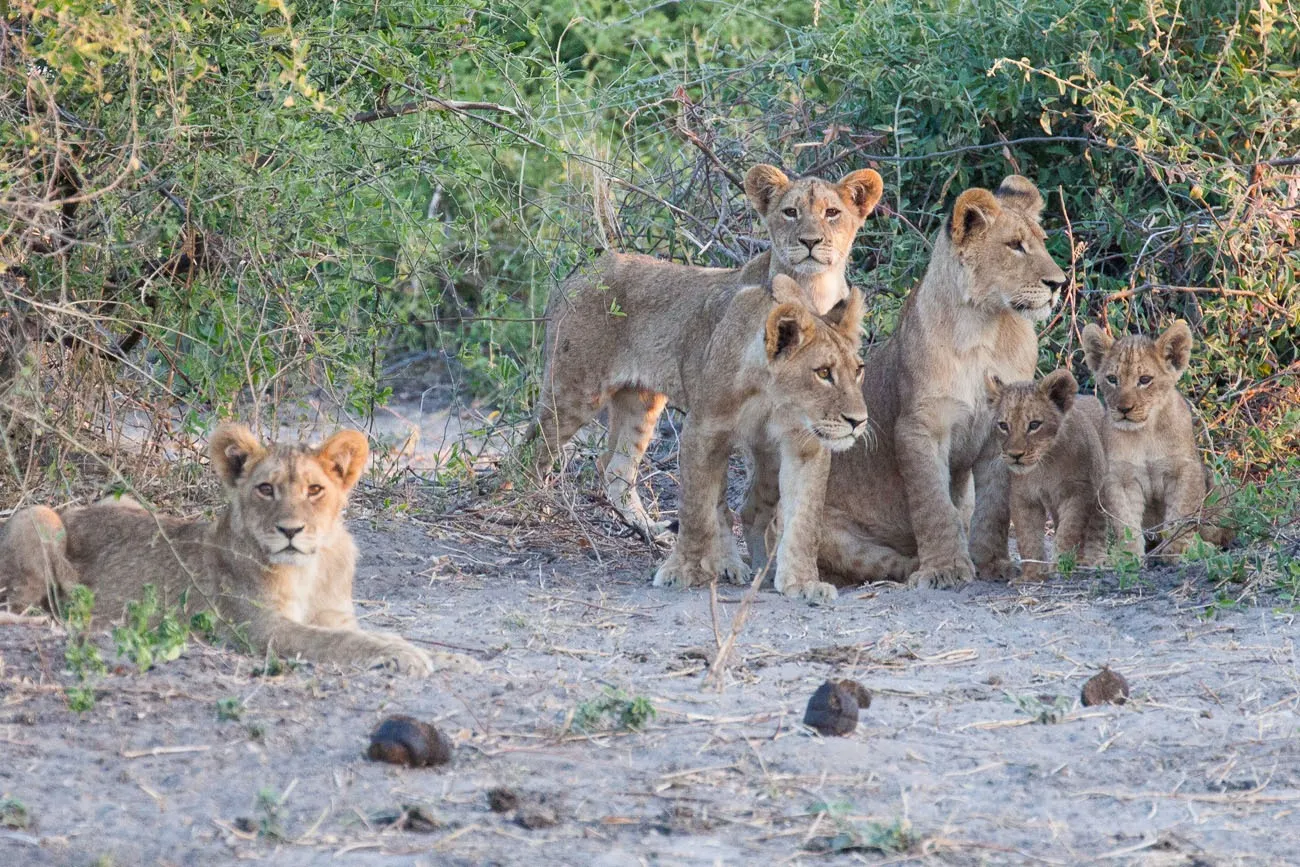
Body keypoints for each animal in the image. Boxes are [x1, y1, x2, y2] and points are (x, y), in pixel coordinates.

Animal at [0, 426, 473, 675]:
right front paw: (405, 654)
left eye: (315, 490)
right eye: (266, 489)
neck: (310, 570)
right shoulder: (261, 628)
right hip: (38, 516)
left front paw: (453, 658)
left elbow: (359, 633)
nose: (290, 530)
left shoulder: (336, 614)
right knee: (19, 604)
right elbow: (338, 642)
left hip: (122, 500)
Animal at [759, 175, 1071, 590]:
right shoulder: (919, 427)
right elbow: (933, 505)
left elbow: (994, 508)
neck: (986, 328)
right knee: (878, 562)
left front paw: (993, 564)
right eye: (1015, 245)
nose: (1058, 283)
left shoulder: (1002, 433)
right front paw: (945, 568)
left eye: (1041, 241)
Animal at [987, 369, 1112, 582]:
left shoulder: (1079, 492)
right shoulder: (1023, 498)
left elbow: (1068, 531)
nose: (1015, 455)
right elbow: (1028, 537)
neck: (1044, 467)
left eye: (1034, 425)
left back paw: (1094, 560)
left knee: (1096, 525)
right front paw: (1031, 574)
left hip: (1099, 489)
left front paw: (1059, 565)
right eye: (1003, 425)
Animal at [1081, 321, 1232, 564]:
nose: (1124, 409)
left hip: (1217, 486)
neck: (1145, 433)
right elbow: (1125, 522)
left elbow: (1180, 515)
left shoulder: (1184, 470)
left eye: (1144, 380)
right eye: (1112, 379)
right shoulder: (1120, 478)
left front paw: (1178, 551)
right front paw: (1128, 556)